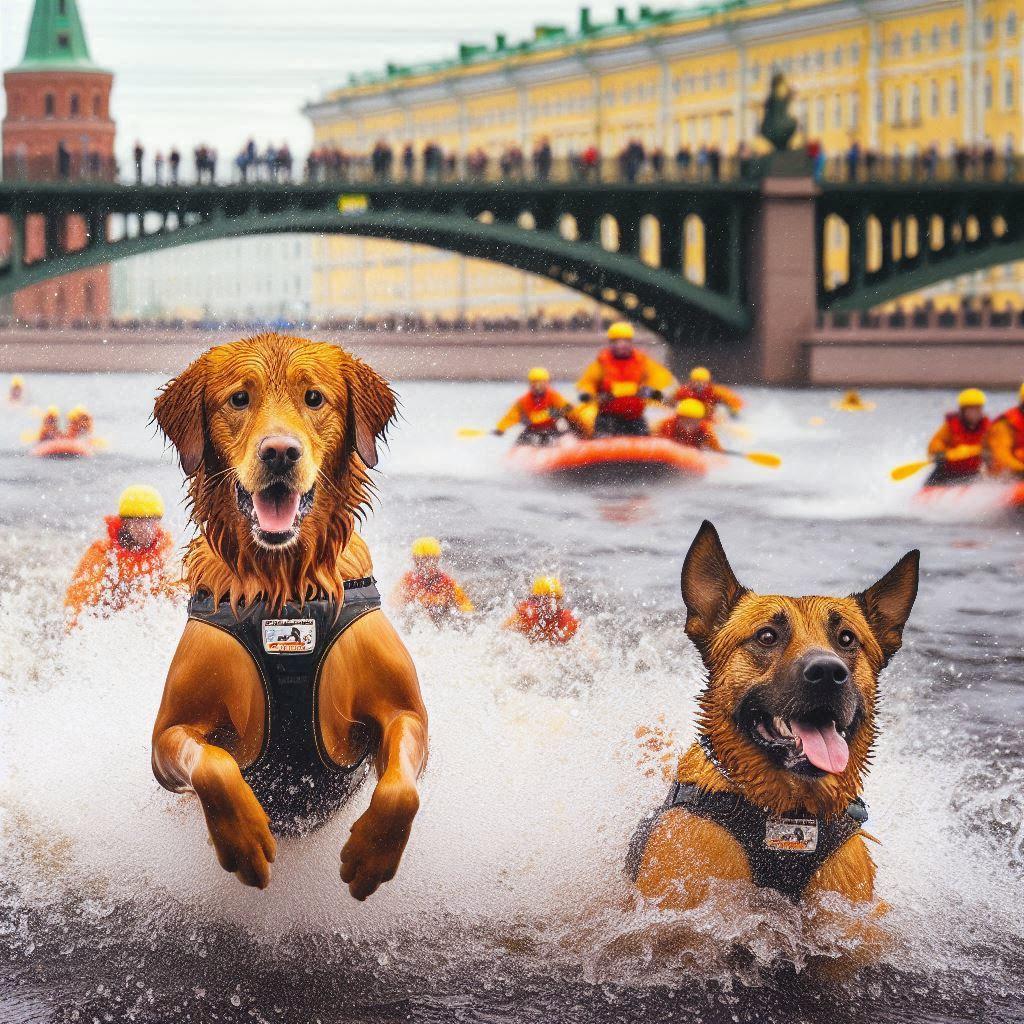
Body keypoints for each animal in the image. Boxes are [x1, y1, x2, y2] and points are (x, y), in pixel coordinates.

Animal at [149, 333, 425, 897]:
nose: (279, 452)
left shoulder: (404, 711)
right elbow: (212, 764)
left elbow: (402, 787)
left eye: (314, 398)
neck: (284, 585)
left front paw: (369, 857)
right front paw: (246, 841)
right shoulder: (168, 734)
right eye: (239, 399)